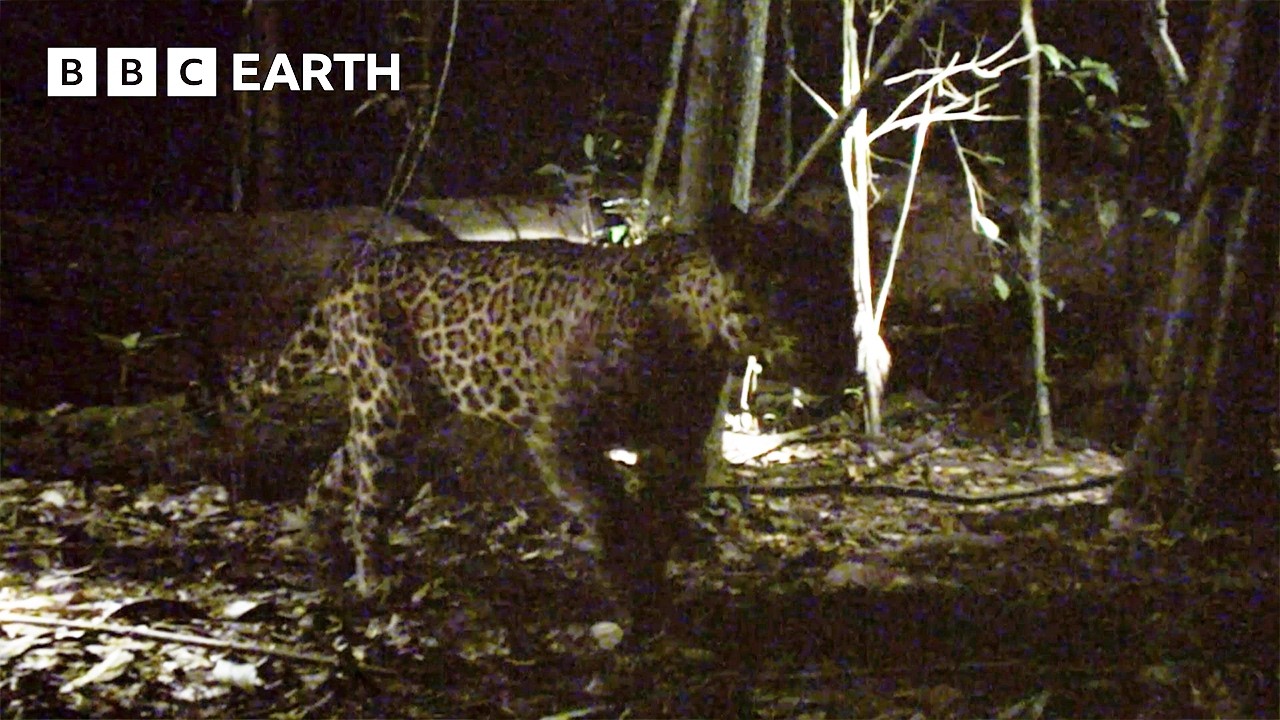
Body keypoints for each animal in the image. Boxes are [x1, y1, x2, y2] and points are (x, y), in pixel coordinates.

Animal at [231, 208, 853, 627]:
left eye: (844, 295)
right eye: (798, 295)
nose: (845, 359)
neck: (696, 337)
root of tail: (352, 268)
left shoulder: (674, 444)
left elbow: (656, 517)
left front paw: (653, 593)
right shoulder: (560, 435)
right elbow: (610, 509)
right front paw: (628, 594)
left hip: (406, 410)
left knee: (330, 473)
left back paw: (322, 551)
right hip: (388, 407)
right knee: (367, 497)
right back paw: (372, 578)